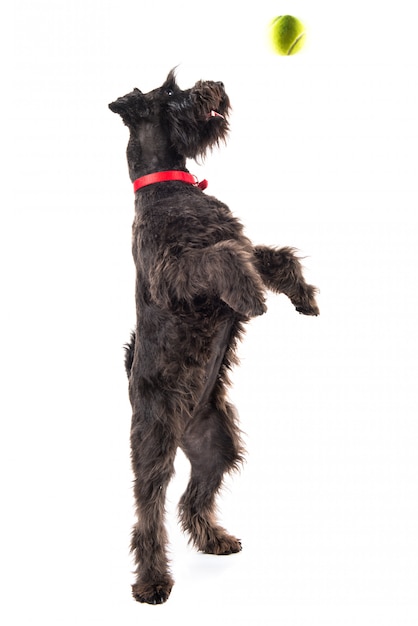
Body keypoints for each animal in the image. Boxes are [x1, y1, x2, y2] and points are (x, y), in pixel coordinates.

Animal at [109, 70, 318, 604]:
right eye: (169, 92)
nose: (216, 83)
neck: (168, 186)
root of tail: (185, 425)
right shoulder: (176, 272)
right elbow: (222, 256)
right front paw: (252, 298)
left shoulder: (246, 243)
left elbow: (272, 254)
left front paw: (304, 297)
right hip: (154, 444)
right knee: (150, 513)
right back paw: (153, 581)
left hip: (217, 445)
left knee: (192, 499)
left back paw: (215, 540)